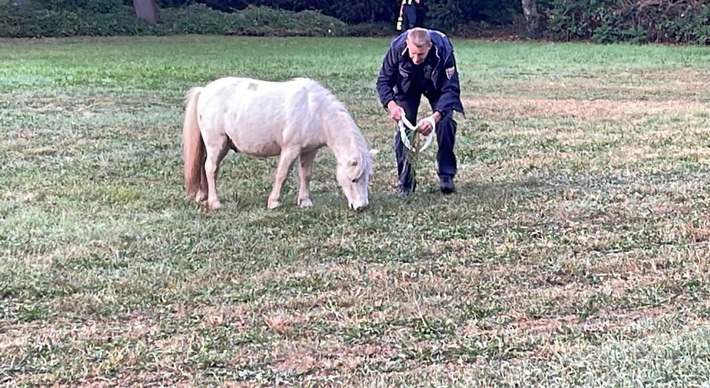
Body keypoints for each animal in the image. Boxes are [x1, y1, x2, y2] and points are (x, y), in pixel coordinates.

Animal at [181, 77, 376, 211]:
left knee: (202, 166)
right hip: (217, 145)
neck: (315, 110)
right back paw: (215, 202)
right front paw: (274, 202)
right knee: (210, 168)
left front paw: (305, 202)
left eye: (367, 177)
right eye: (353, 179)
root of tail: (204, 91)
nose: (361, 206)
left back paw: (202, 196)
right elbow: (282, 174)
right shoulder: (291, 149)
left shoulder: (309, 151)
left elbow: (306, 175)